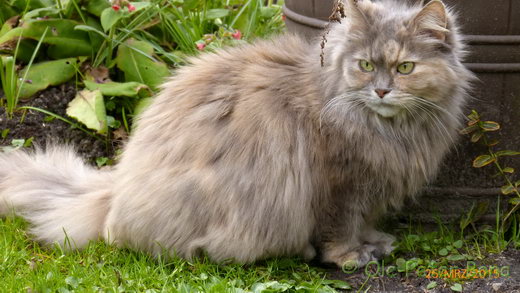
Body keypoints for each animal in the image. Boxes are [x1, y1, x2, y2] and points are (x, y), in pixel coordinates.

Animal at [0, 0, 472, 266]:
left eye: (405, 67)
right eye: (366, 65)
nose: (381, 90)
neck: (392, 130)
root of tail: (114, 192)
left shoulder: (372, 185)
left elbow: (366, 220)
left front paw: (375, 242)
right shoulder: (340, 184)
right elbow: (340, 229)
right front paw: (351, 257)